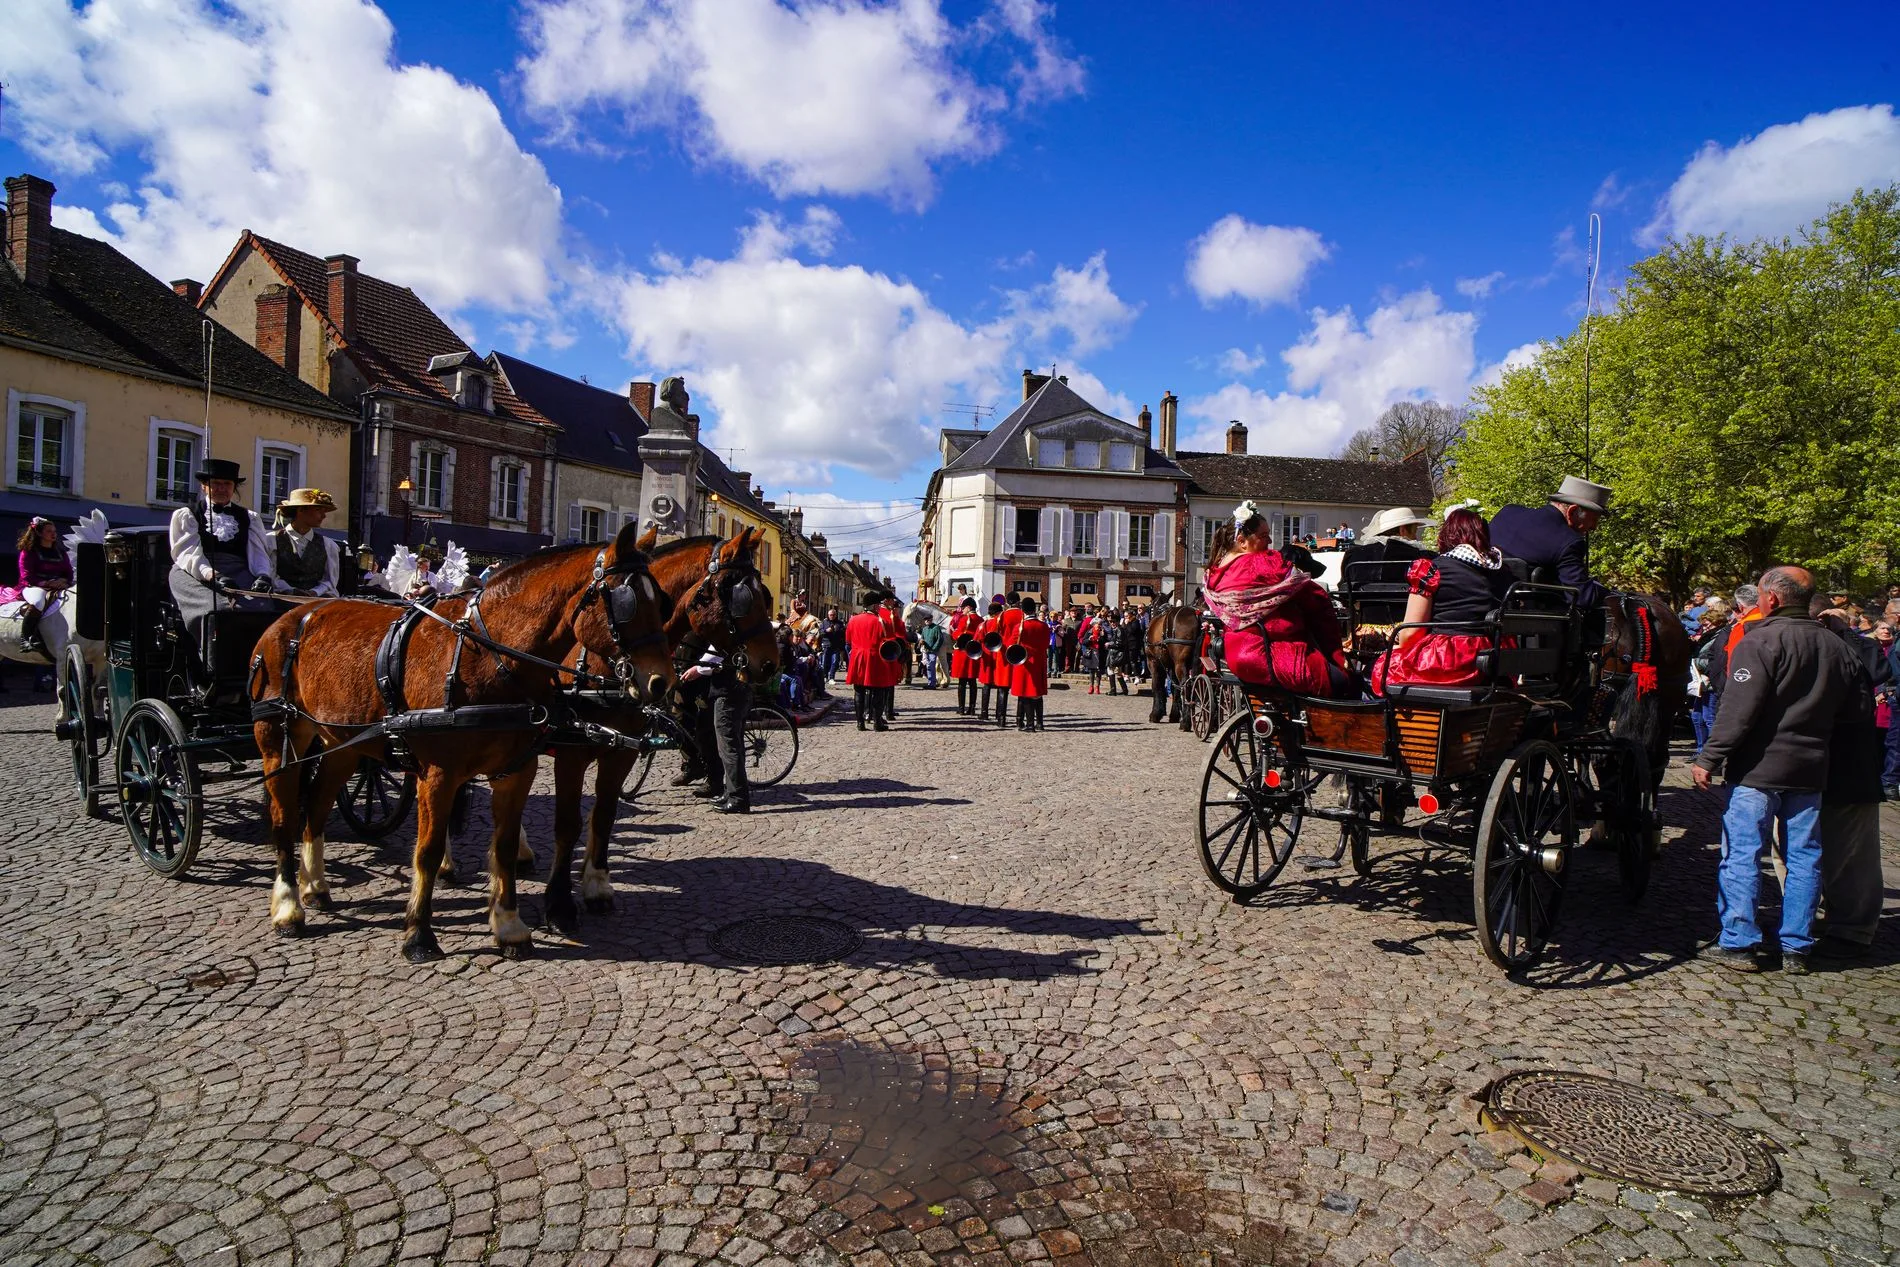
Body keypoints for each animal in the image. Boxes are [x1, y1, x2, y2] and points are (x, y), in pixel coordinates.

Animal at [245, 516, 676, 961]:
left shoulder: (518, 771)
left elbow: (504, 844)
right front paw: (419, 934)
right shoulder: (440, 773)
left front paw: (509, 926)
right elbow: (428, 850)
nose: (662, 682)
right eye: (626, 602)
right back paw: (289, 906)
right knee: (284, 816)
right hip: (278, 738)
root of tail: (296, 614)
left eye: (662, 602)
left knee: (316, 805)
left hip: (341, 742)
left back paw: (315, 885)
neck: (487, 657)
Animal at [543, 531, 779, 938]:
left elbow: (604, 815)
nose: (771, 663)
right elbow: (568, 823)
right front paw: (559, 904)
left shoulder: (620, 751)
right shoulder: (571, 751)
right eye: (742, 596)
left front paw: (596, 887)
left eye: (764, 594)